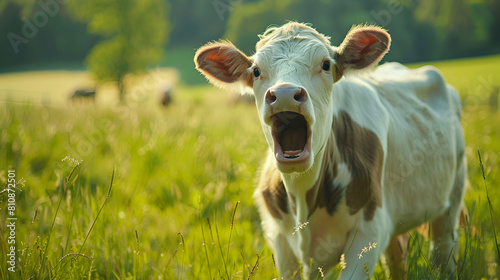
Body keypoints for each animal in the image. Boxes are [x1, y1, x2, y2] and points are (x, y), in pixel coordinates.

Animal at [194, 22, 464, 280]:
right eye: (257, 71)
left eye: (325, 64)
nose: (284, 93)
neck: (303, 197)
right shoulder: (279, 238)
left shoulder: (369, 231)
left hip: (452, 199)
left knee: (443, 251)